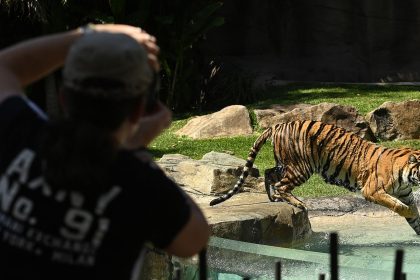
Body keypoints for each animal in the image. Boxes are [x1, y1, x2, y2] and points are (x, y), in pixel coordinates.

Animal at [210, 120, 420, 234]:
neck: (405, 177)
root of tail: (277, 125)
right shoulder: (372, 190)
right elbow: (398, 205)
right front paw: (408, 212)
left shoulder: (406, 194)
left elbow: (414, 215)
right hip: (301, 167)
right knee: (281, 185)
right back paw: (297, 203)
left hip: (285, 164)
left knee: (269, 173)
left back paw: (273, 198)